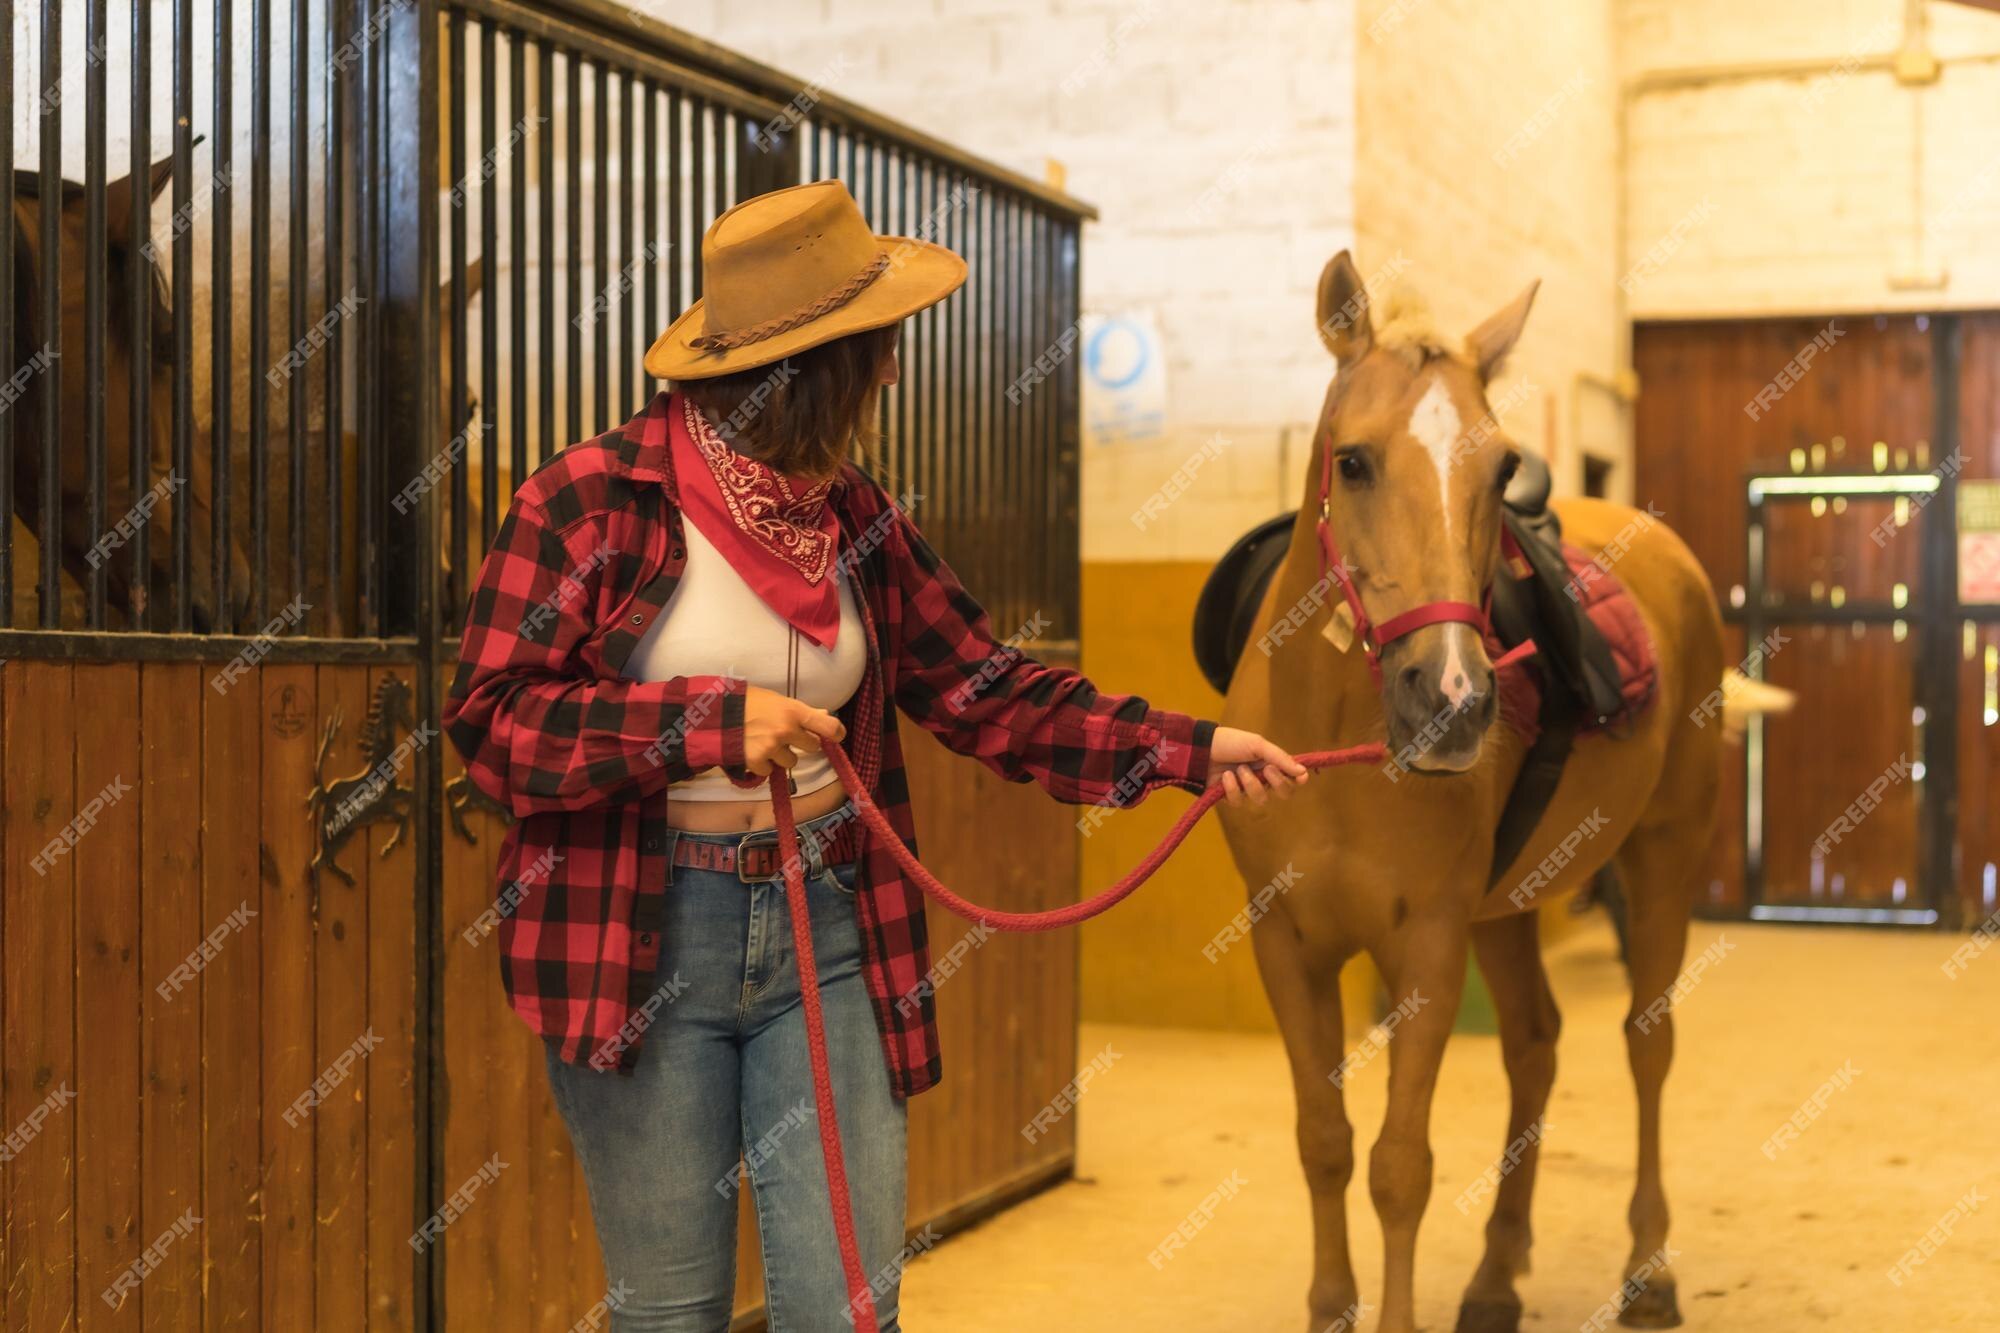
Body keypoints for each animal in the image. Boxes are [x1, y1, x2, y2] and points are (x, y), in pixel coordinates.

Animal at [1224, 252, 1728, 1328]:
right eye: (1353, 461)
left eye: (1499, 470)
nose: (1452, 697)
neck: (1335, 743)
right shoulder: (1284, 939)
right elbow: (1322, 1138)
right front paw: (1331, 1305)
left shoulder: (1427, 941)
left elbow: (1398, 1165)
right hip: (1506, 909)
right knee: (1533, 1044)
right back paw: (1497, 1275)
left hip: (1660, 858)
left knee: (1647, 1041)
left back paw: (1649, 1268)